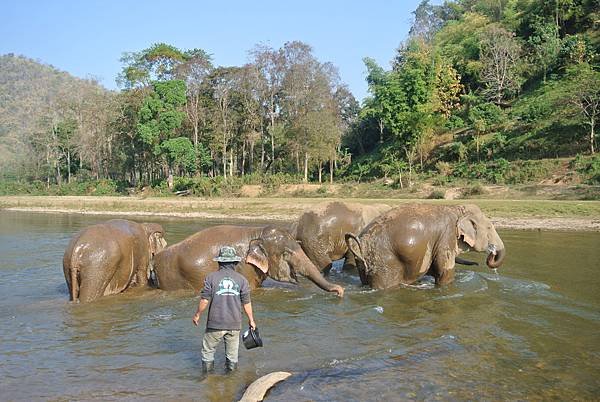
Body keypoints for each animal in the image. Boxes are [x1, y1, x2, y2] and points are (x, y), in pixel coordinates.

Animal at [344, 204, 504, 288]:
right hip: (384, 261)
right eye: (489, 227)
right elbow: (444, 271)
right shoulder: (446, 236)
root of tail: (361, 245)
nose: (492, 252)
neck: (456, 209)